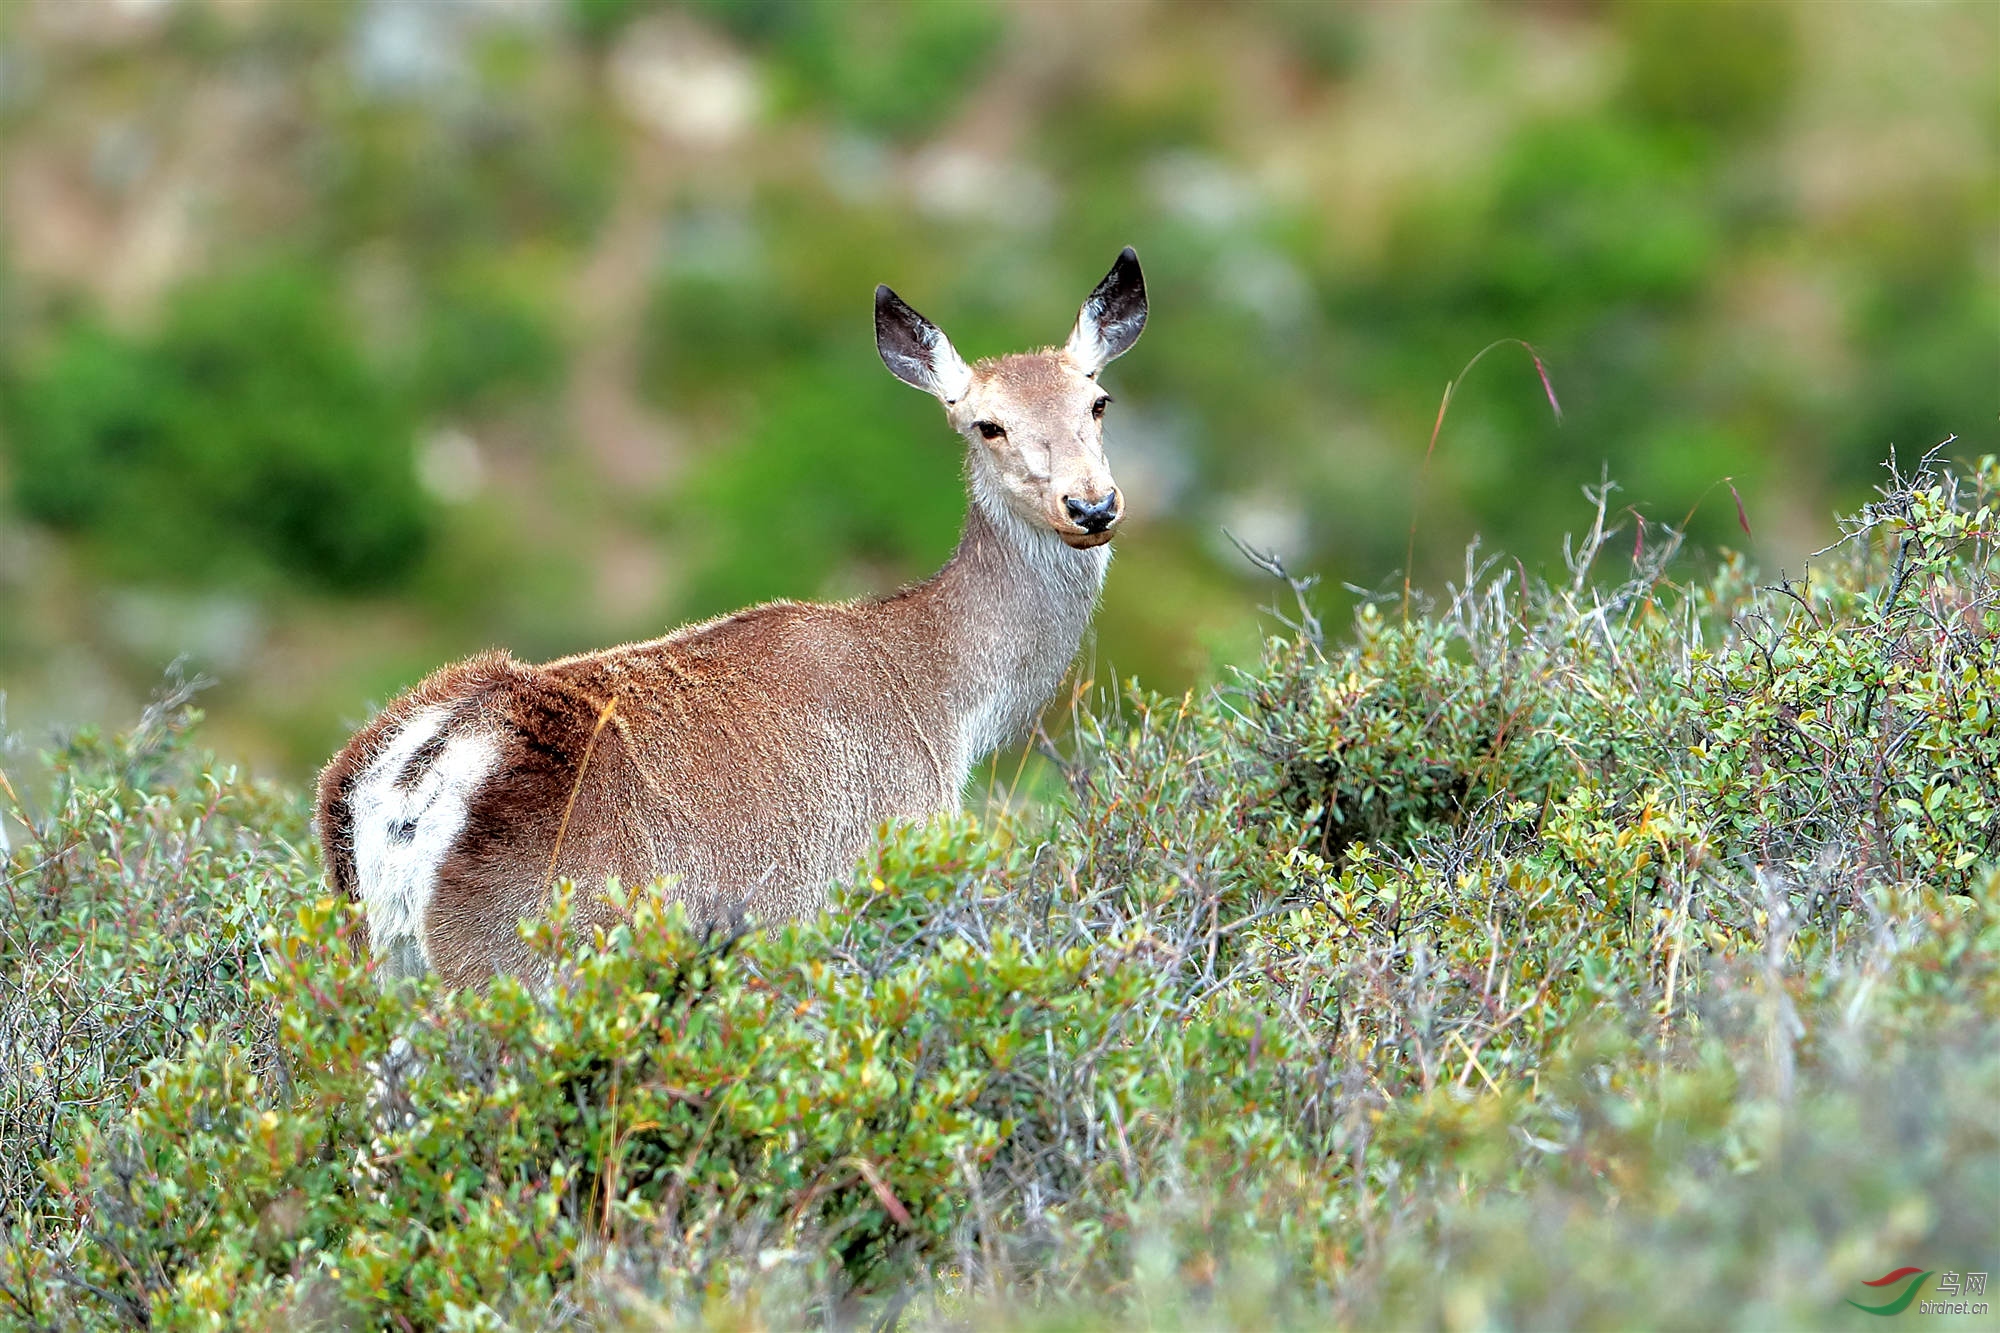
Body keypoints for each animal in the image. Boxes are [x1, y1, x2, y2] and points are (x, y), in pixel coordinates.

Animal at [318, 244, 1152, 980]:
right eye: (987, 424)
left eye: (1098, 402)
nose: (1091, 504)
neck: (945, 708)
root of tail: (402, 794)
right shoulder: (854, 879)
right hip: (515, 958)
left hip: (381, 958)